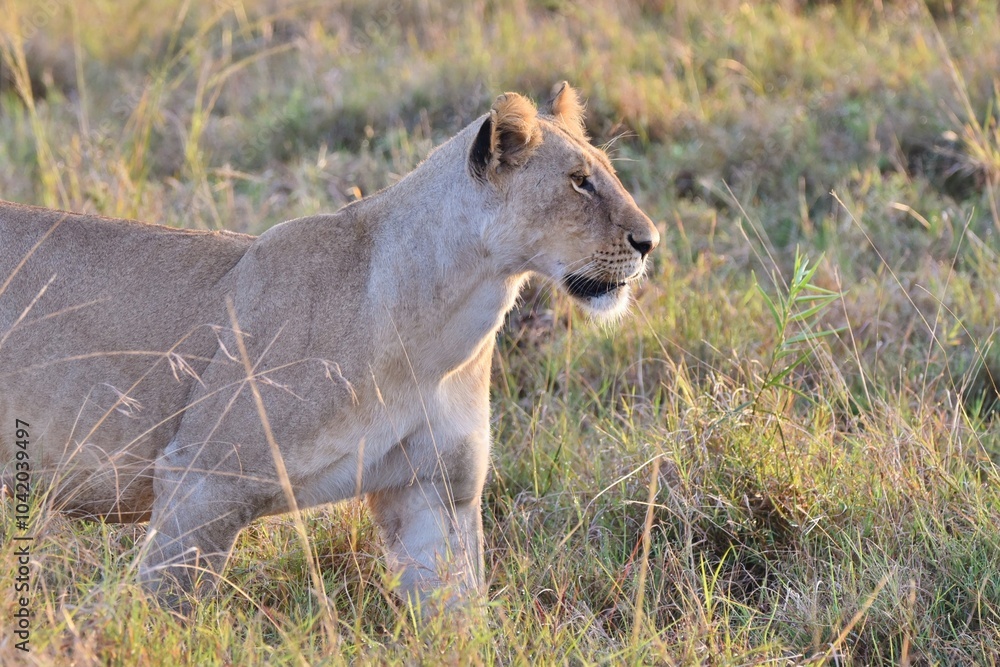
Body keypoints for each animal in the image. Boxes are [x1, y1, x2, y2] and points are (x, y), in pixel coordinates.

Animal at [0, 83, 658, 611]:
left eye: (606, 172)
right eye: (579, 182)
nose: (650, 240)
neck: (438, 338)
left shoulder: (434, 491)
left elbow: (458, 614)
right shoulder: (202, 478)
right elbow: (166, 611)